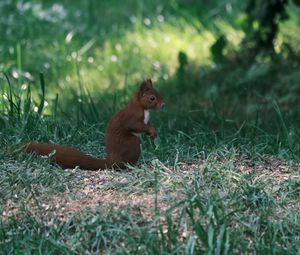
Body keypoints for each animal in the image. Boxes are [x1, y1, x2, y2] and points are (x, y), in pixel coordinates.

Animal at [22, 78, 165, 170]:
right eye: (152, 98)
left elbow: (147, 125)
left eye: (160, 94)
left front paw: (153, 131)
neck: (143, 109)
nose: (163, 105)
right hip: (132, 143)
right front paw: (152, 131)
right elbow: (136, 125)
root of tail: (111, 161)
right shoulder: (132, 117)